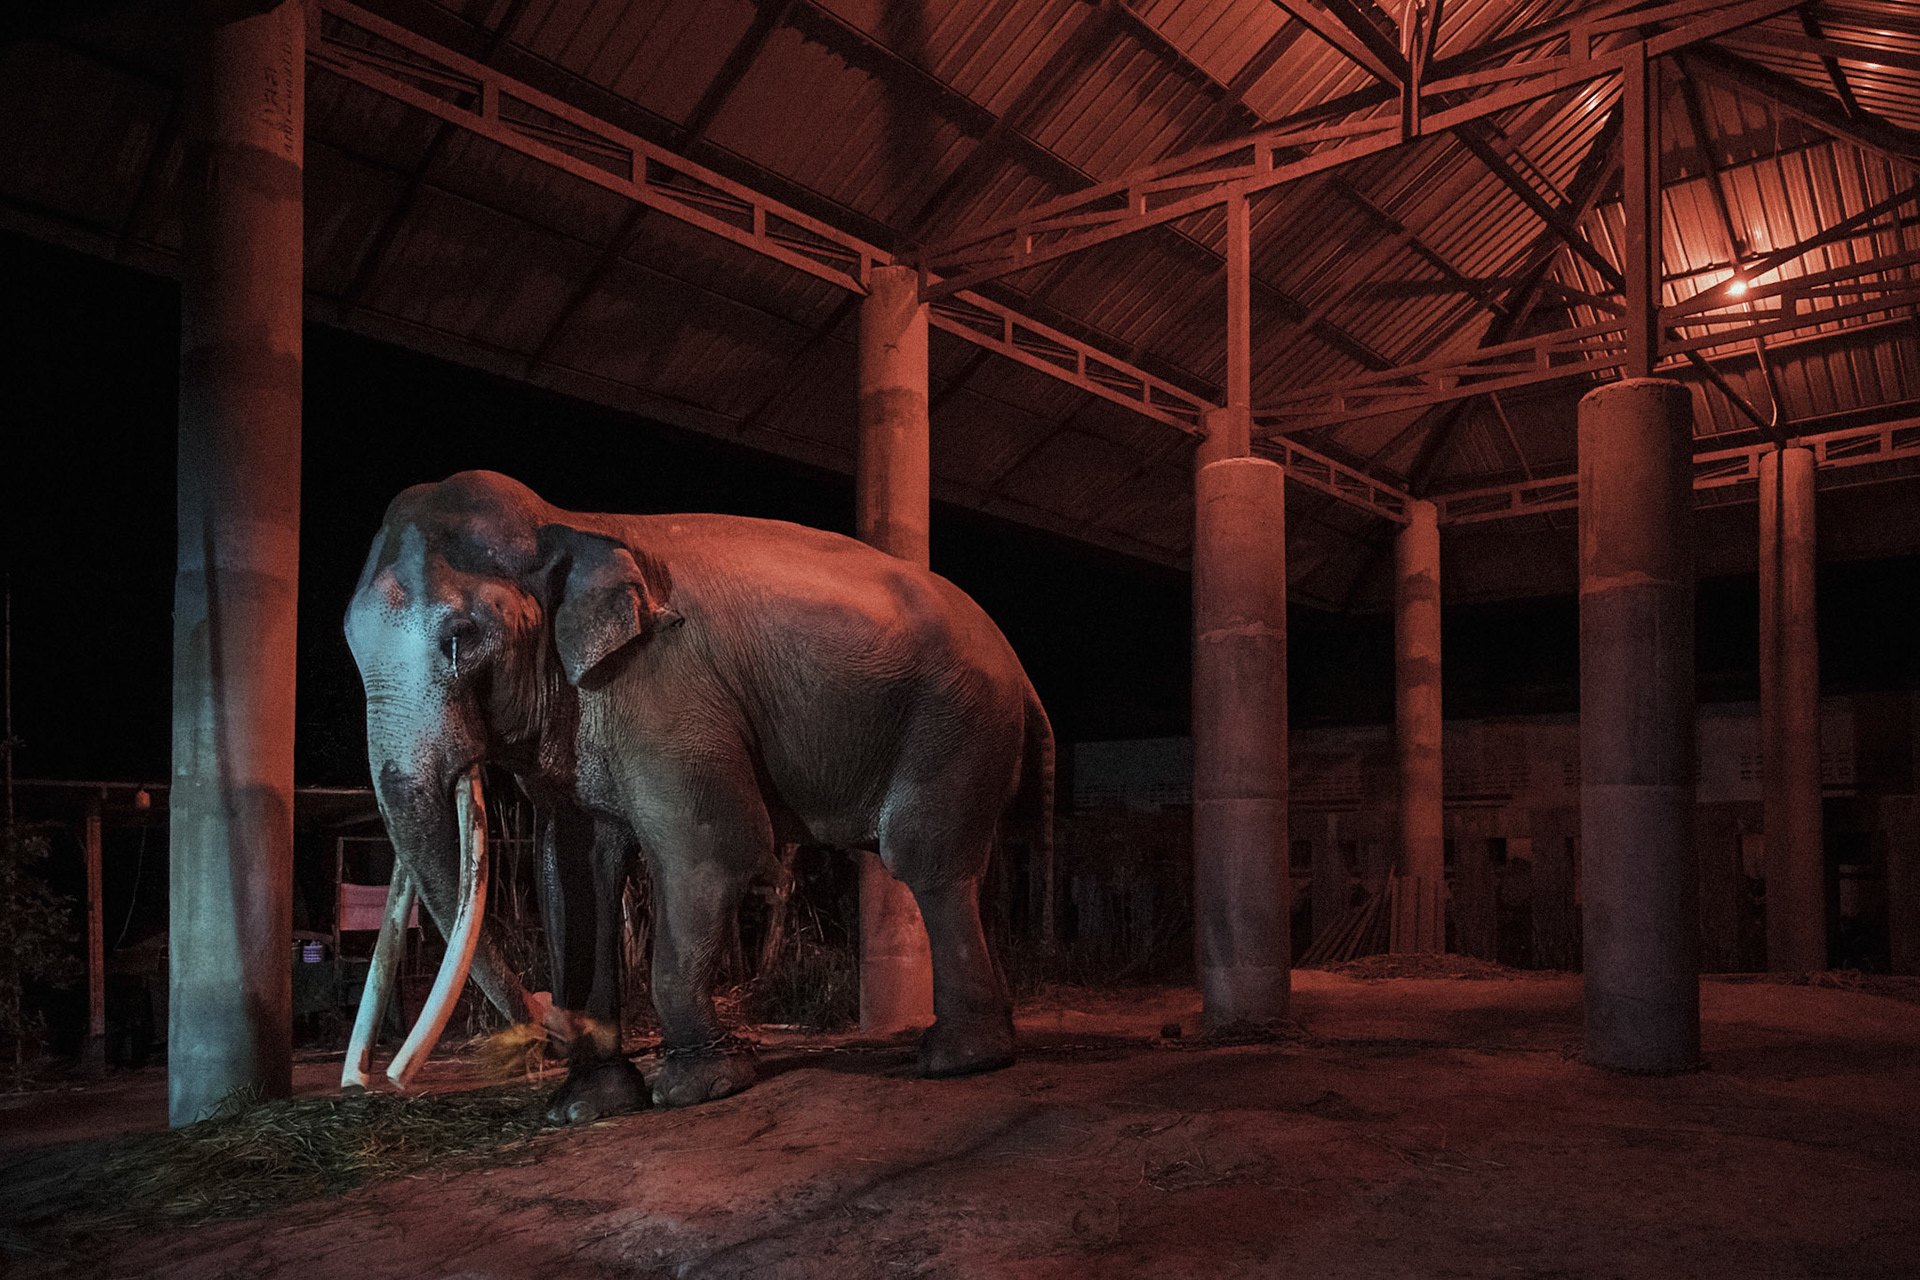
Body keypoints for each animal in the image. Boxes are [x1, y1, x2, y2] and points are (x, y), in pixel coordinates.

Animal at [340, 470, 1053, 1118]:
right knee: (976, 873)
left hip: (957, 723)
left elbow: (711, 853)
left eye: (460, 640)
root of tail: (1022, 675)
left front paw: (696, 1087)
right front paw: (587, 1107)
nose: (548, 1011)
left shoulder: (665, 687)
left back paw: (959, 1059)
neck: (567, 522)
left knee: (926, 861)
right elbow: (572, 872)